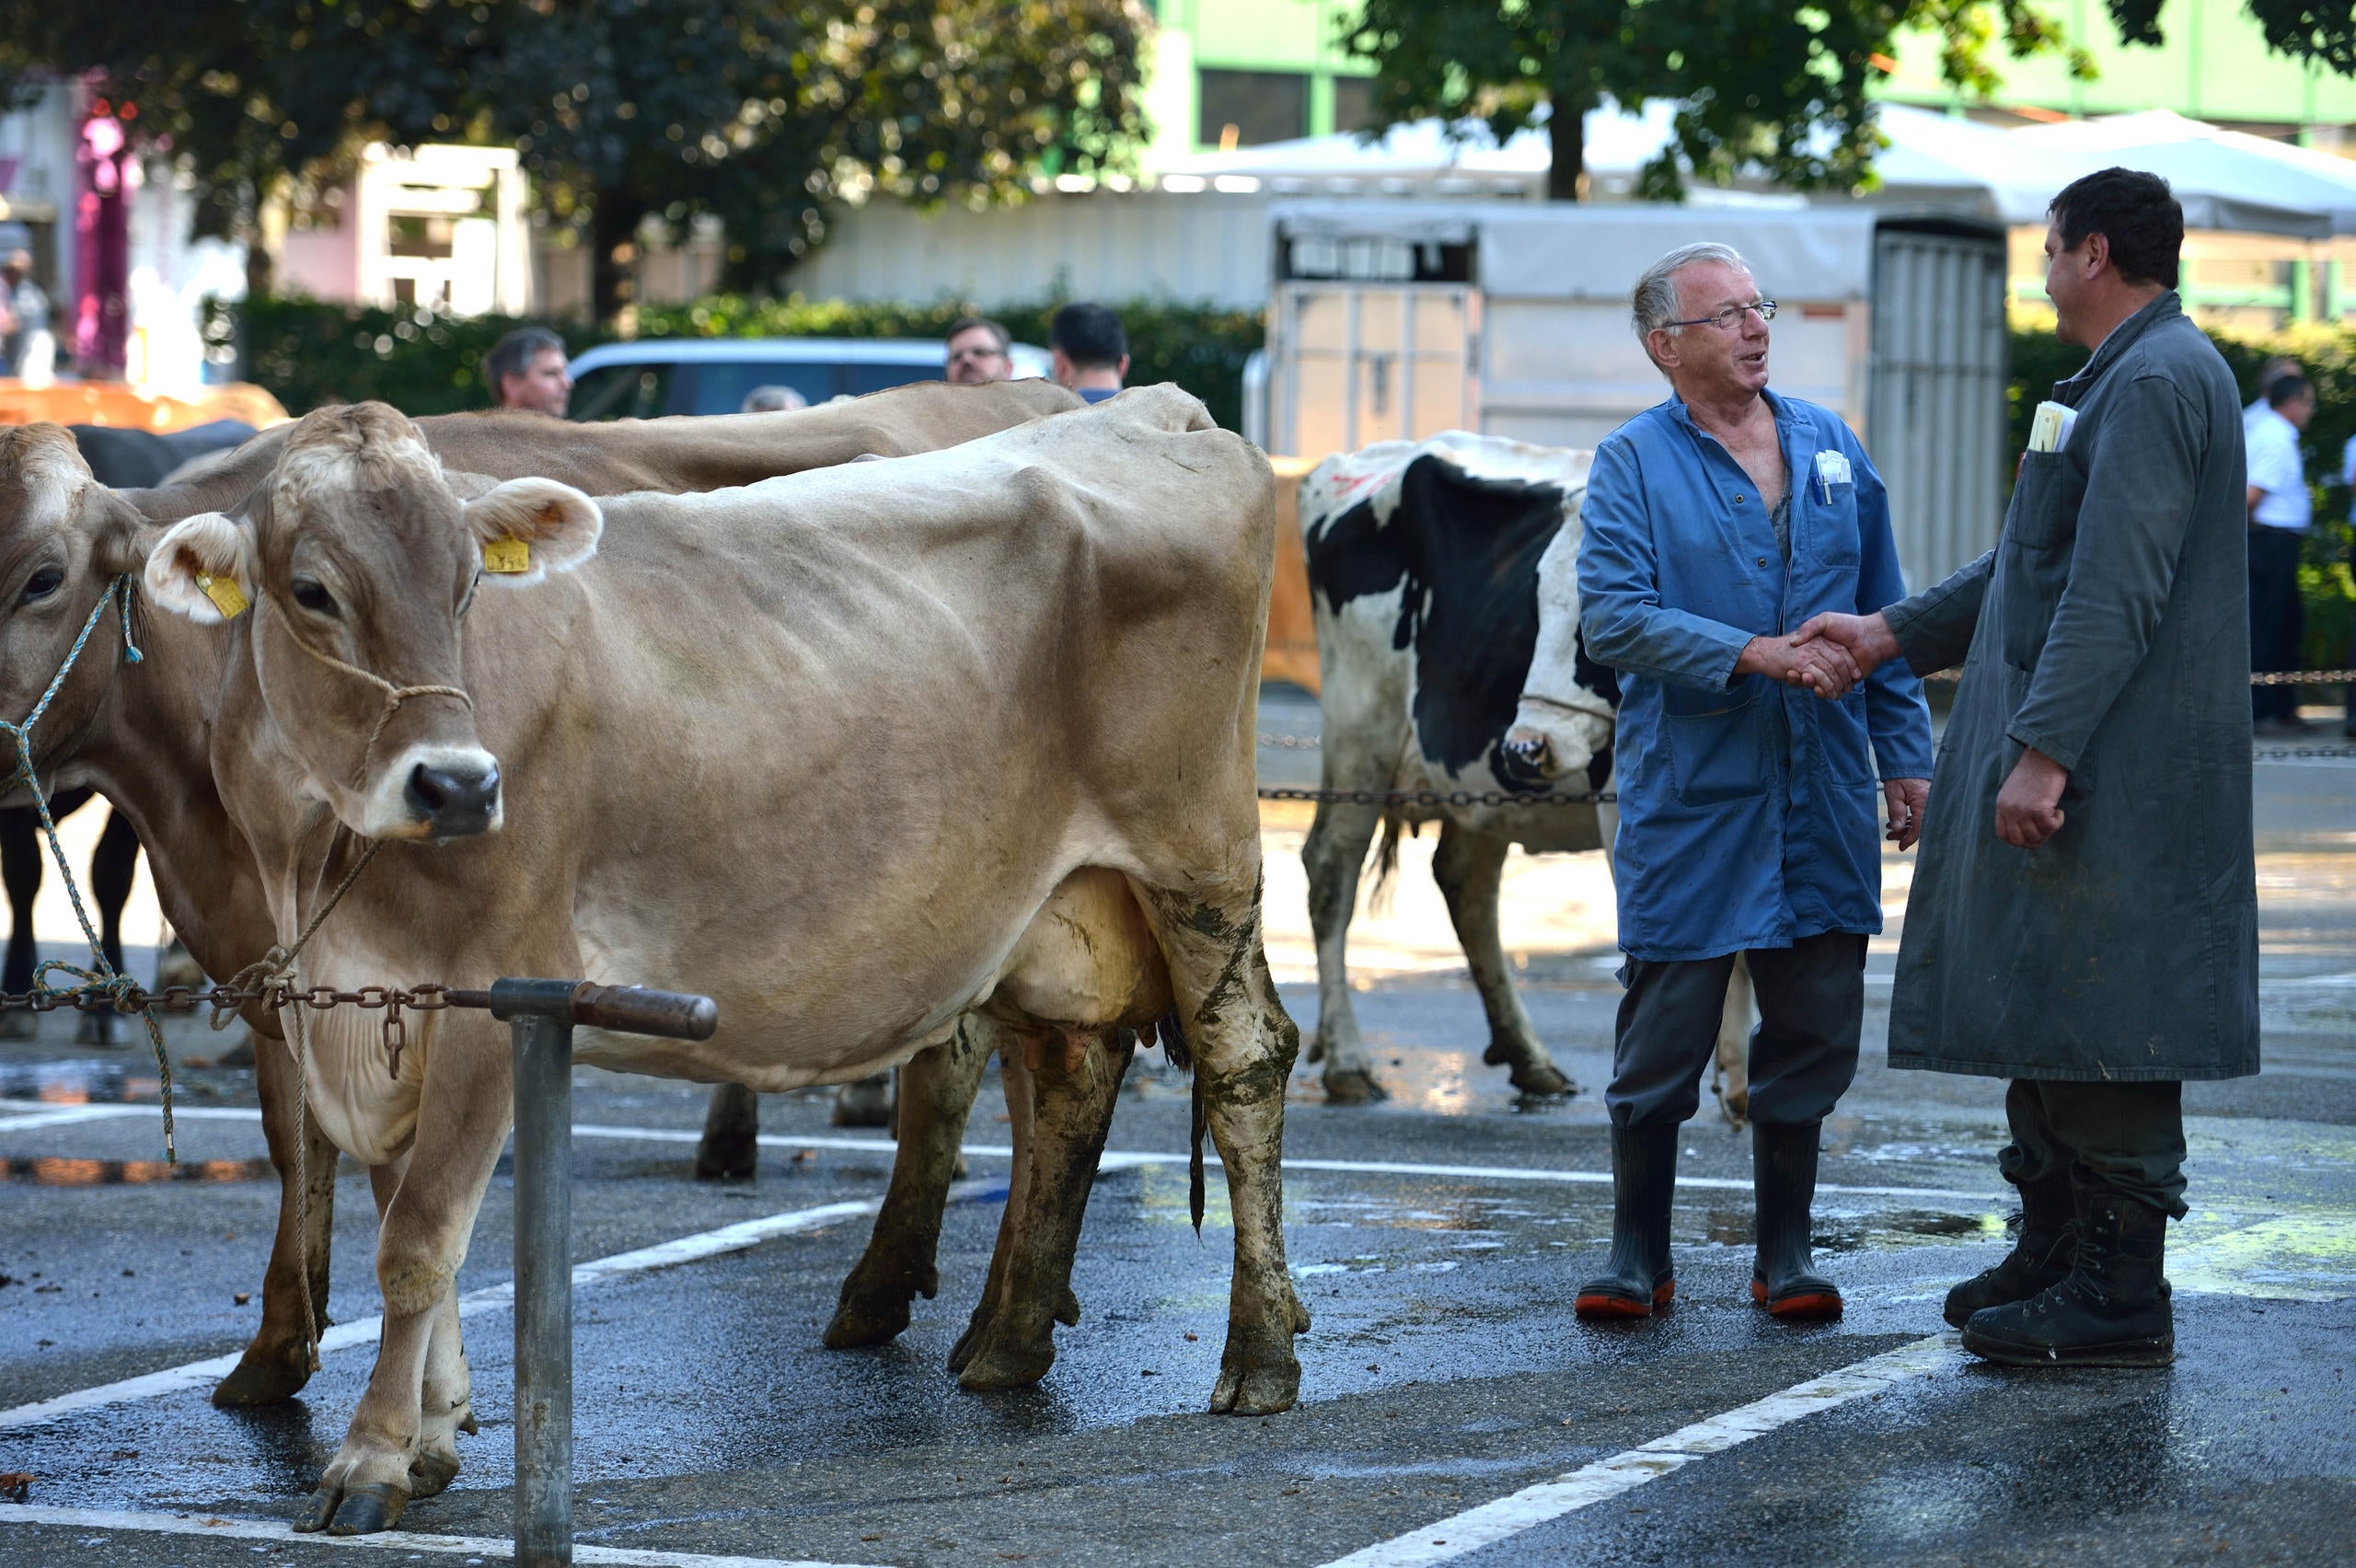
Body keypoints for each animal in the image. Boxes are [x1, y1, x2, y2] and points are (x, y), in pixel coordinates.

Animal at [1290, 432, 1752, 1106]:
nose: (1528, 747)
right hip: (1361, 734)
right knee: (1331, 868)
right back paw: (1349, 1061)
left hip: (1478, 781)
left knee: (1466, 884)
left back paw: (1527, 1055)